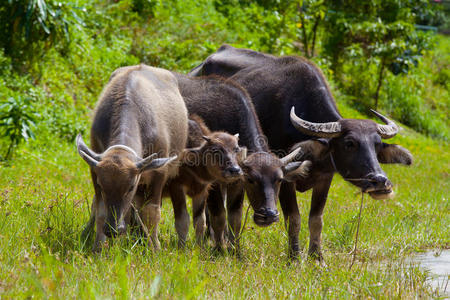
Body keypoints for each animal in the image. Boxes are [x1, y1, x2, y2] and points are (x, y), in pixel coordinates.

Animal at [77, 64, 188, 252]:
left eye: (130, 187)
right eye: (101, 185)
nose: (113, 230)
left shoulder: (158, 174)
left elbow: (152, 212)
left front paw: (154, 248)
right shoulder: (94, 171)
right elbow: (100, 211)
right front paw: (98, 248)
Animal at [164, 115, 243, 246]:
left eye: (236, 149)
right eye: (215, 150)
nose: (235, 170)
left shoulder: (201, 191)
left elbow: (200, 222)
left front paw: (199, 247)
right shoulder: (176, 187)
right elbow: (182, 221)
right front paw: (181, 248)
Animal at [188, 45, 414, 260]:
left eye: (377, 145)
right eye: (350, 143)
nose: (380, 181)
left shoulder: (325, 178)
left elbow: (316, 219)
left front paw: (316, 256)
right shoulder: (287, 180)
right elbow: (294, 218)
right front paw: (295, 256)